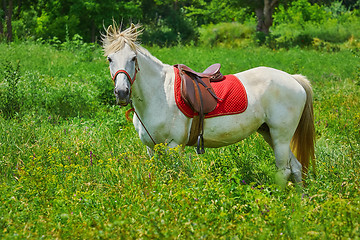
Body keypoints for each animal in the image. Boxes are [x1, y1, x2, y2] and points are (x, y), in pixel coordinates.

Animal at [102, 23, 316, 187]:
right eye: (110, 59)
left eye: (133, 58)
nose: (122, 93)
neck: (159, 93)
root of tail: (294, 80)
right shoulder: (151, 148)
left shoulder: (173, 146)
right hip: (269, 133)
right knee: (296, 168)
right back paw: (300, 203)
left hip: (281, 137)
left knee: (284, 171)